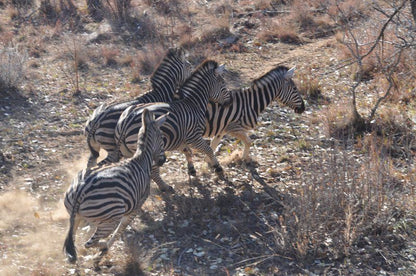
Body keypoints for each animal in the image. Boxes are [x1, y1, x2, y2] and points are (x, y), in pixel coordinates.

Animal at [63, 109, 167, 268]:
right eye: (162, 138)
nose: (163, 160)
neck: (141, 159)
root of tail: (81, 189)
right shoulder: (134, 208)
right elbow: (119, 231)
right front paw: (100, 256)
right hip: (109, 219)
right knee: (88, 243)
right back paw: (103, 247)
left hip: (75, 217)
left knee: (72, 241)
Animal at [114, 60, 231, 192]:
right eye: (223, 84)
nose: (230, 102)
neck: (193, 104)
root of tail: (126, 120)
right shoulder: (194, 137)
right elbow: (209, 150)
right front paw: (218, 169)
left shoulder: (180, 138)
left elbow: (188, 152)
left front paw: (192, 170)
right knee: (153, 170)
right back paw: (164, 187)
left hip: (128, 150)